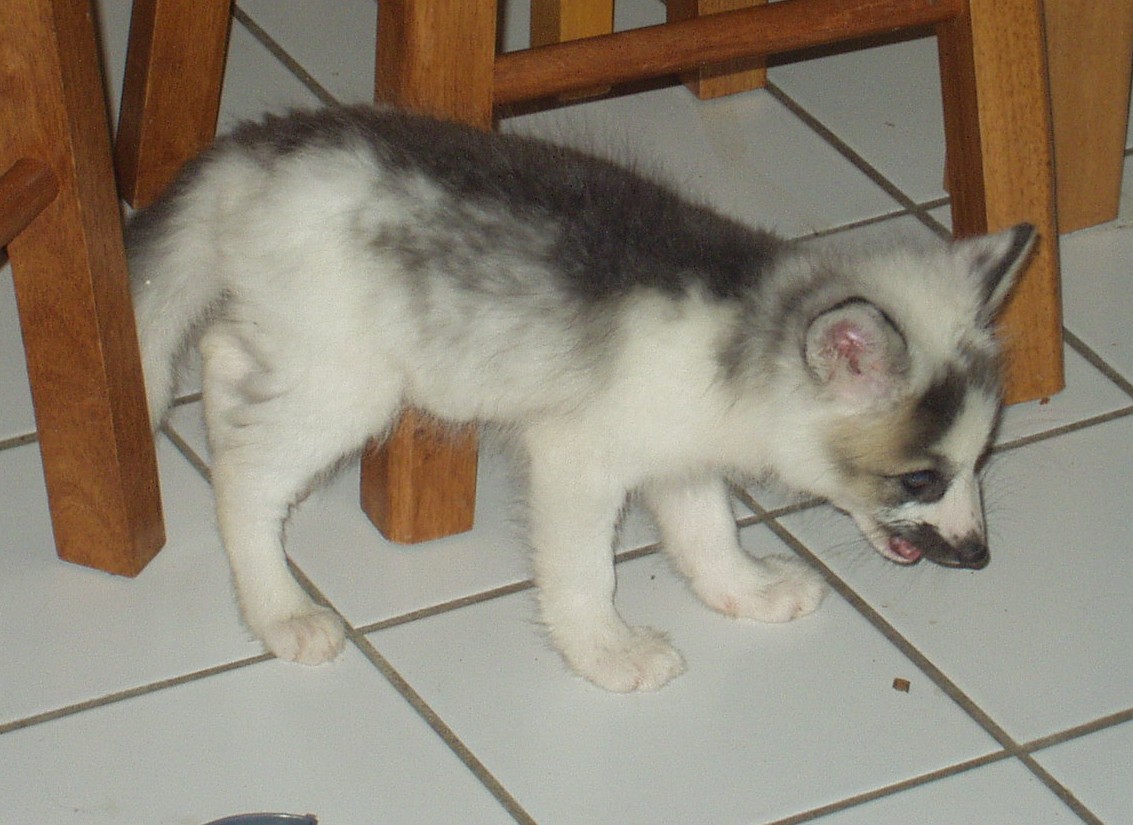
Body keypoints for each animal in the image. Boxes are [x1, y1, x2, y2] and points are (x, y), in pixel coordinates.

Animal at [128, 105, 1035, 692]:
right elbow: (582, 571)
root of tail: (254, 147)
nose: (980, 557)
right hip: (351, 380)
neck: (746, 326)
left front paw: (744, 590)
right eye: (917, 478)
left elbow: (707, 532)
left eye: (979, 463)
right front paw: (607, 652)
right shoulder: (577, 458)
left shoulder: (680, 453)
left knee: (223, 352)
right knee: (245, 474)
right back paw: (279, 607)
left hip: (304, 344)